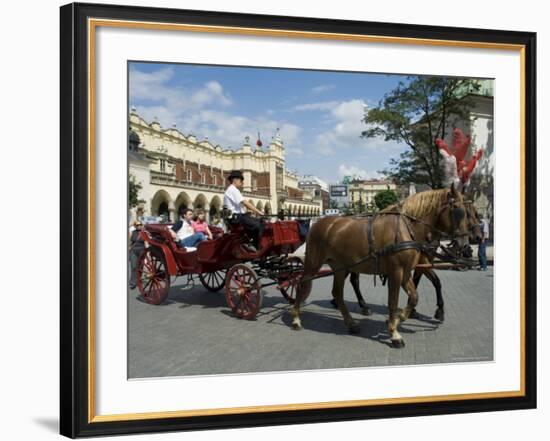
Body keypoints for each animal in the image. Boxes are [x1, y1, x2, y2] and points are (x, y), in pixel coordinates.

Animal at [294, 183, 470, 348]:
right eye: (458, 212)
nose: (464, 245)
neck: (405, 228)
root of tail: (319, 223)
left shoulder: (406, 273)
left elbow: (414, 297)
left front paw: (399, 319)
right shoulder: (396, 272)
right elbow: (393, 301)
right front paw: (394, 333)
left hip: (340, 267)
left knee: (337, 292)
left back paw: (351, 323)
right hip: (313, 263)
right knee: (301, 284)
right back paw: (296, 318)